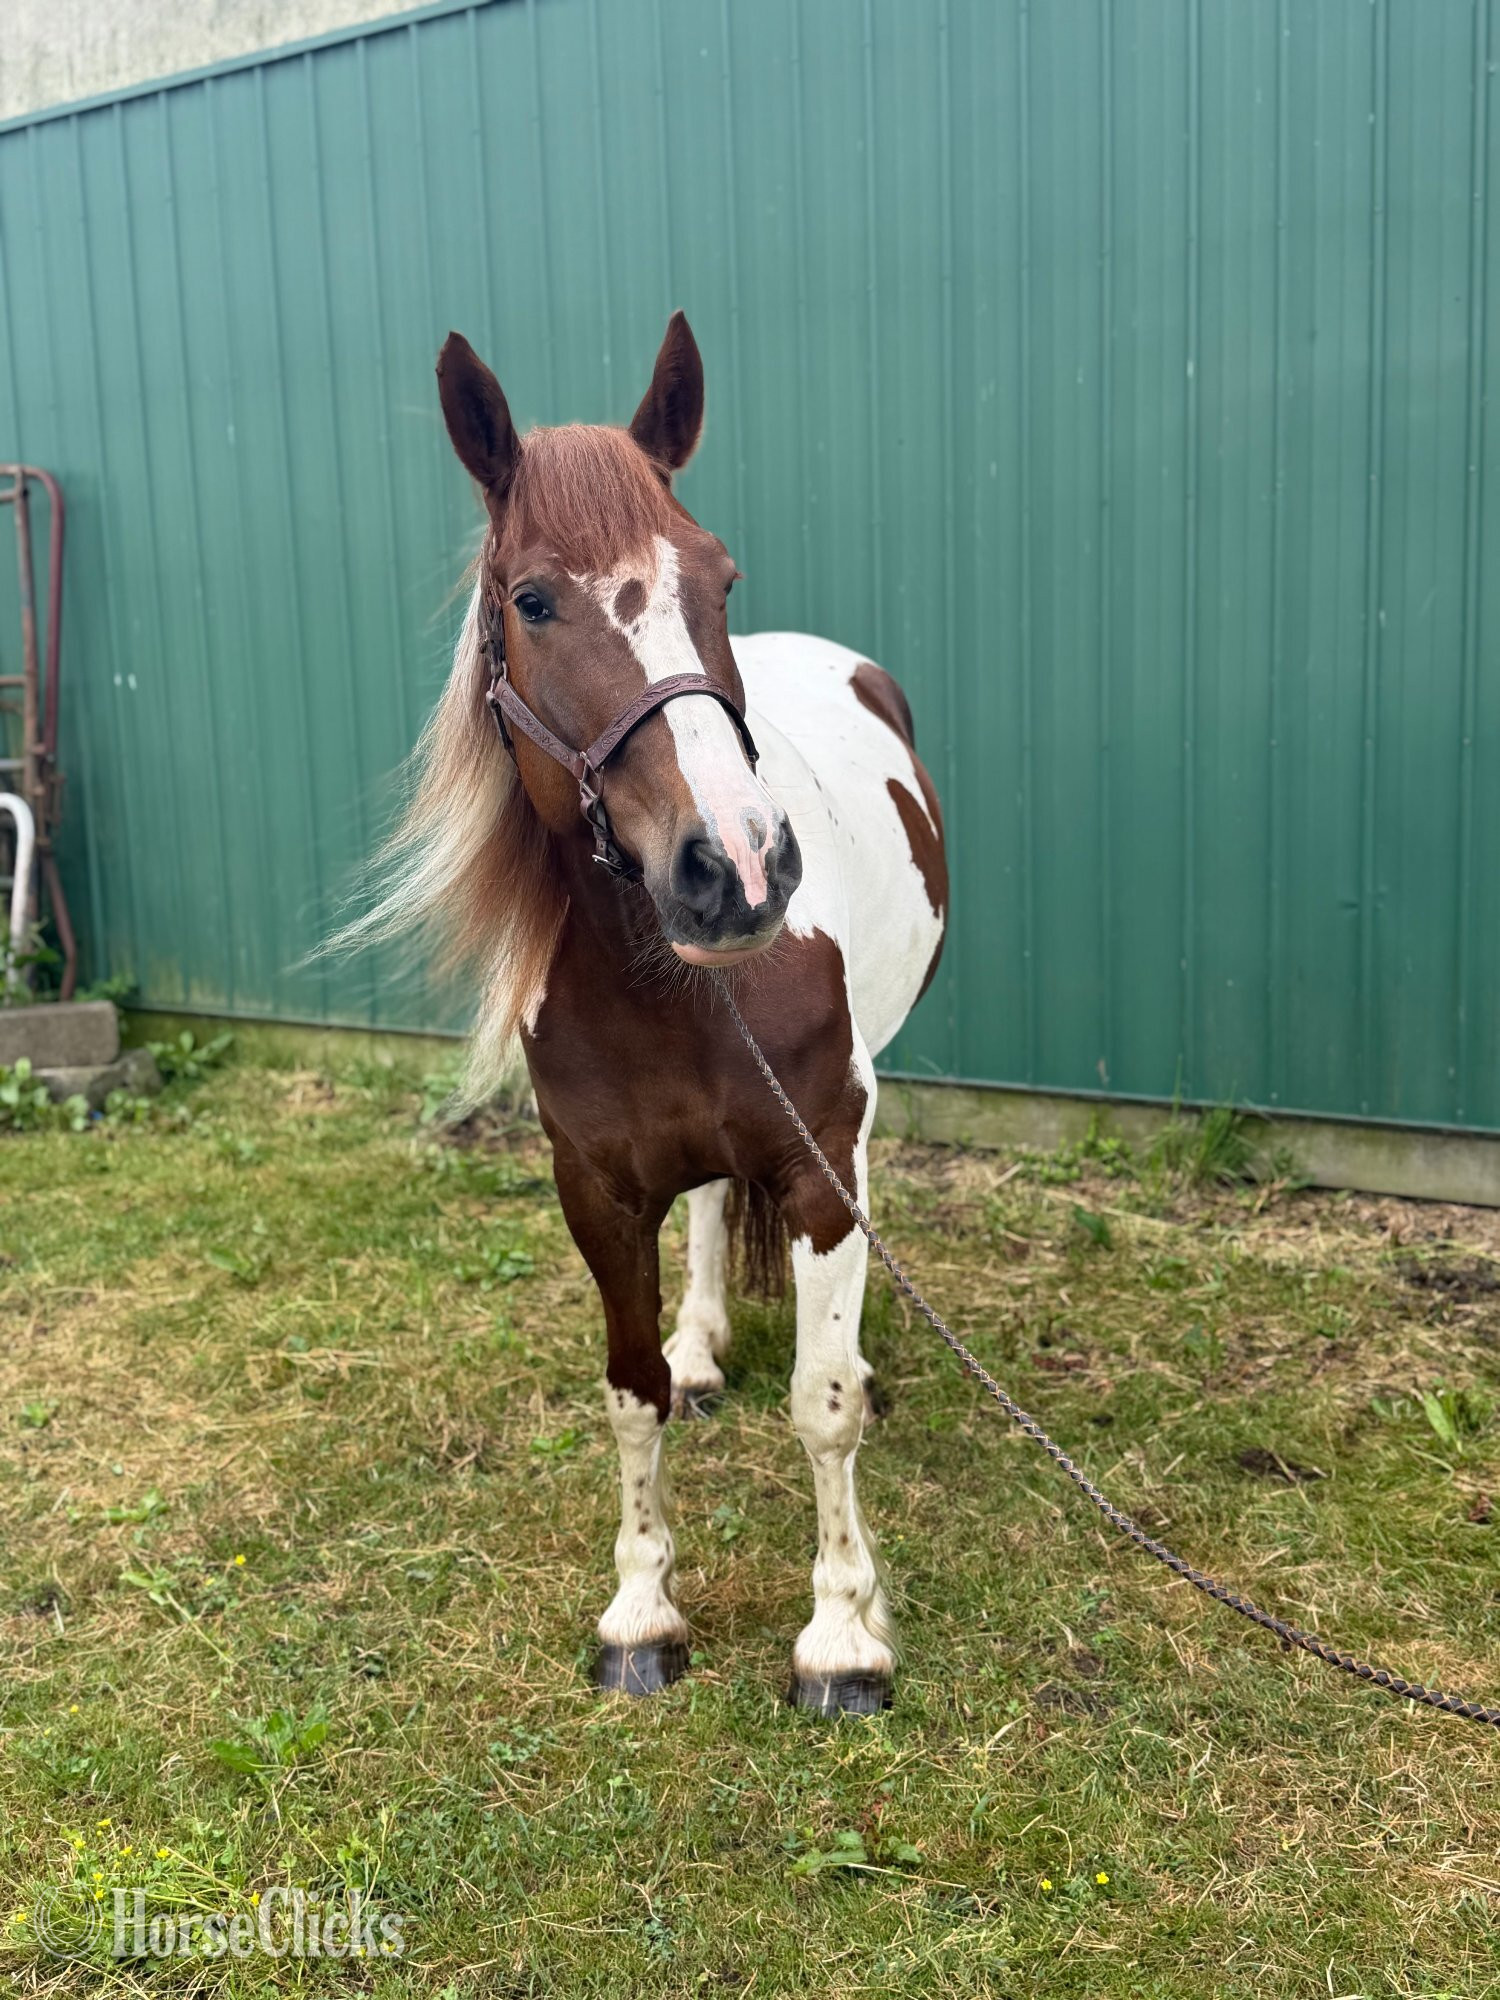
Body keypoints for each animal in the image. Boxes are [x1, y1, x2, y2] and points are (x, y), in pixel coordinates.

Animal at [353, 311, 947, 1714]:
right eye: (531, 599)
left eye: (719, 578)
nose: (736, 865)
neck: (658, 986)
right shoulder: (595, 1186)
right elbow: (631, 1394)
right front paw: (639, 1609)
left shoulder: (821, 1155)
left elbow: (823, 1402)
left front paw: (842, 1633)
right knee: (713, 1219)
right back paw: (704, 1339)